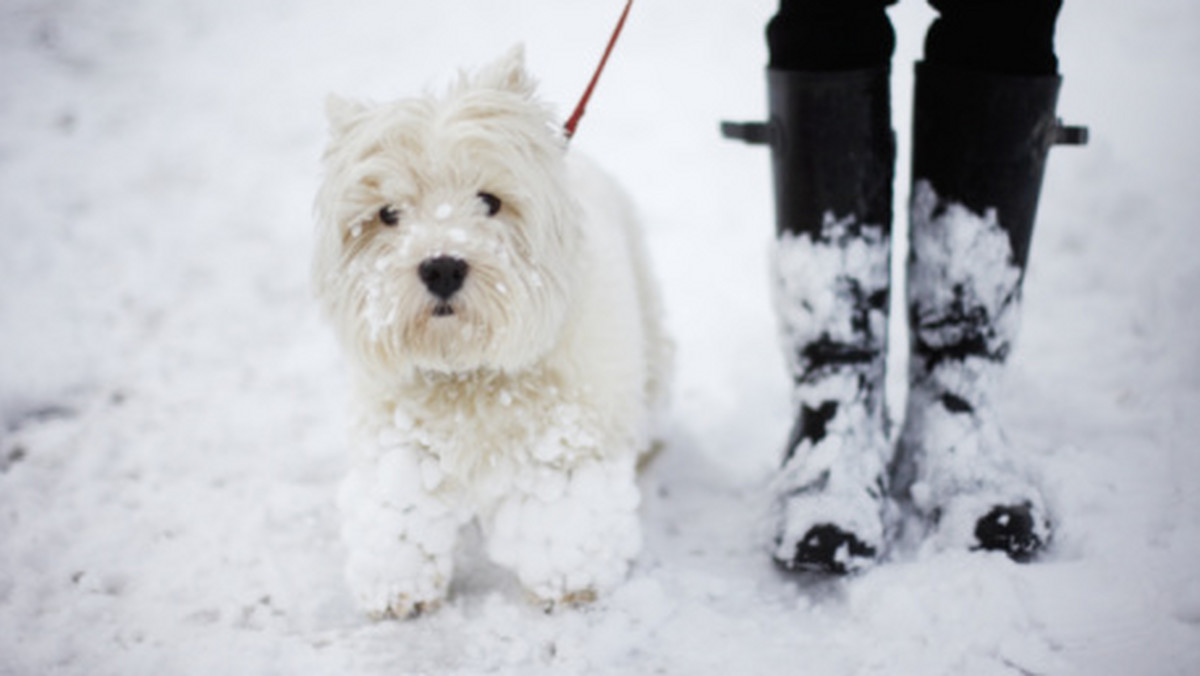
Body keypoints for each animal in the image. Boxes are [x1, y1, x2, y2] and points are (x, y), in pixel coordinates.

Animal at [309, 46, 672, 619]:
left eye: (489, 200)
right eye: (388, 213)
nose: (441, 267)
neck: (468, 372)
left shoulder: (562, 441)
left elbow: (563, 517)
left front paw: (569, 582)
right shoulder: (399, 441)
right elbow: (398, 514)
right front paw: (396, 588)